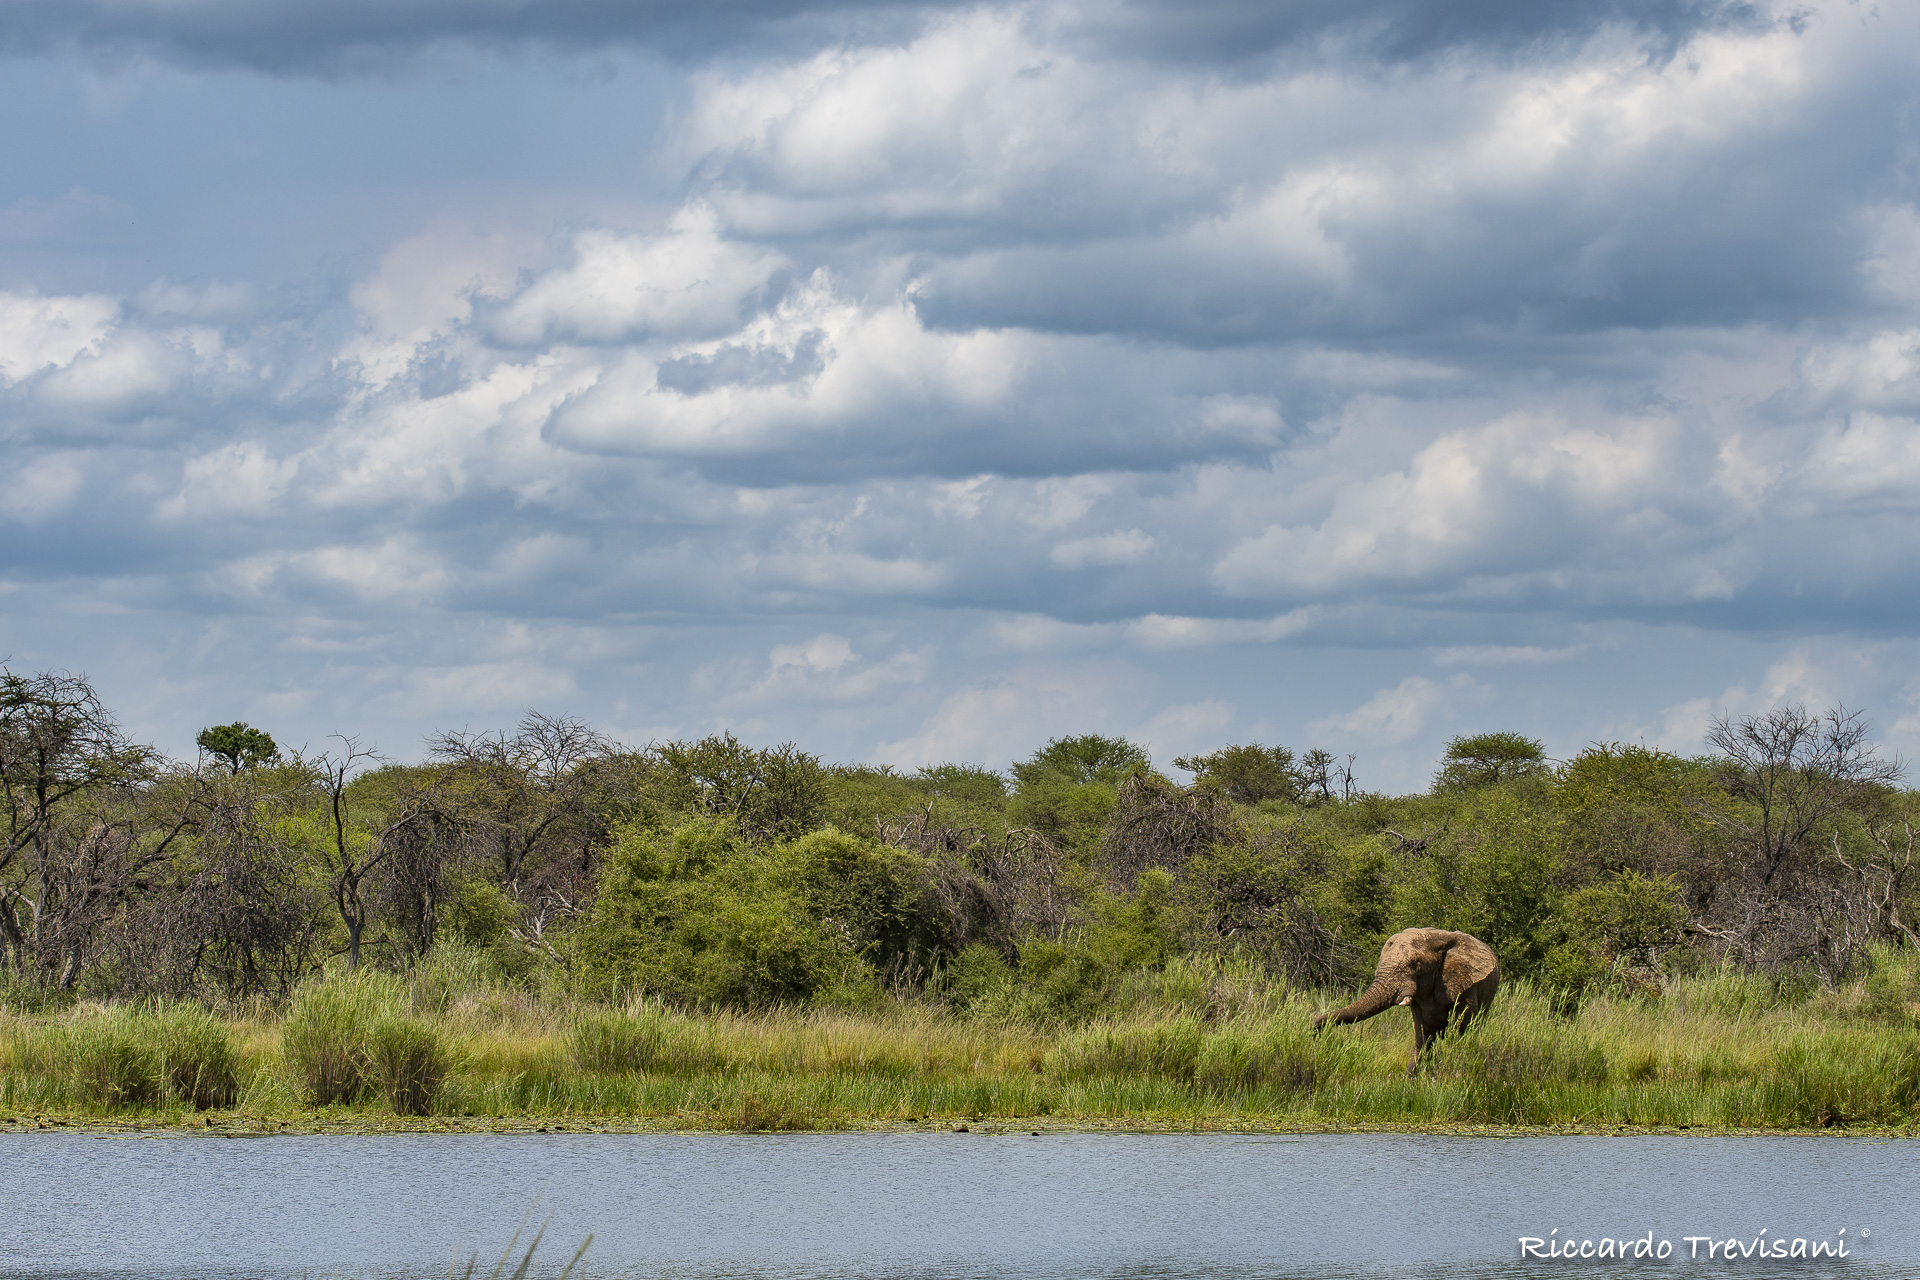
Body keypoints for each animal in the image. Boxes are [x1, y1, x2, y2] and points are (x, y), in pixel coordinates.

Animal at [1313, 928, 1499, 1076]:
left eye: (1417, 964)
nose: (1314, 1031)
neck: (1438, 939)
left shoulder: (1466, 984)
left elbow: (1462, 1027)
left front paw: (1455, 1067)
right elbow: (1422, 1034)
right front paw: (1410, 1079)